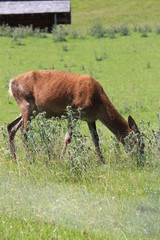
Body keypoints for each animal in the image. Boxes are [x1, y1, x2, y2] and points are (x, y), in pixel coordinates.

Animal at [6, 70, 144, 163]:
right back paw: (30, 159)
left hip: (31, 109)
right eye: (139, 142)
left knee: (11, 126)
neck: (98, 103)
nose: (141, 158)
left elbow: (95, 139)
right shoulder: (74, 112)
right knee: (23, 132)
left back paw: (13, 159)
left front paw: (102, 161)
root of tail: (11, 82)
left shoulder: (90, 118)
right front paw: (61, 159)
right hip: (26, 104)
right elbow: (68, 137)